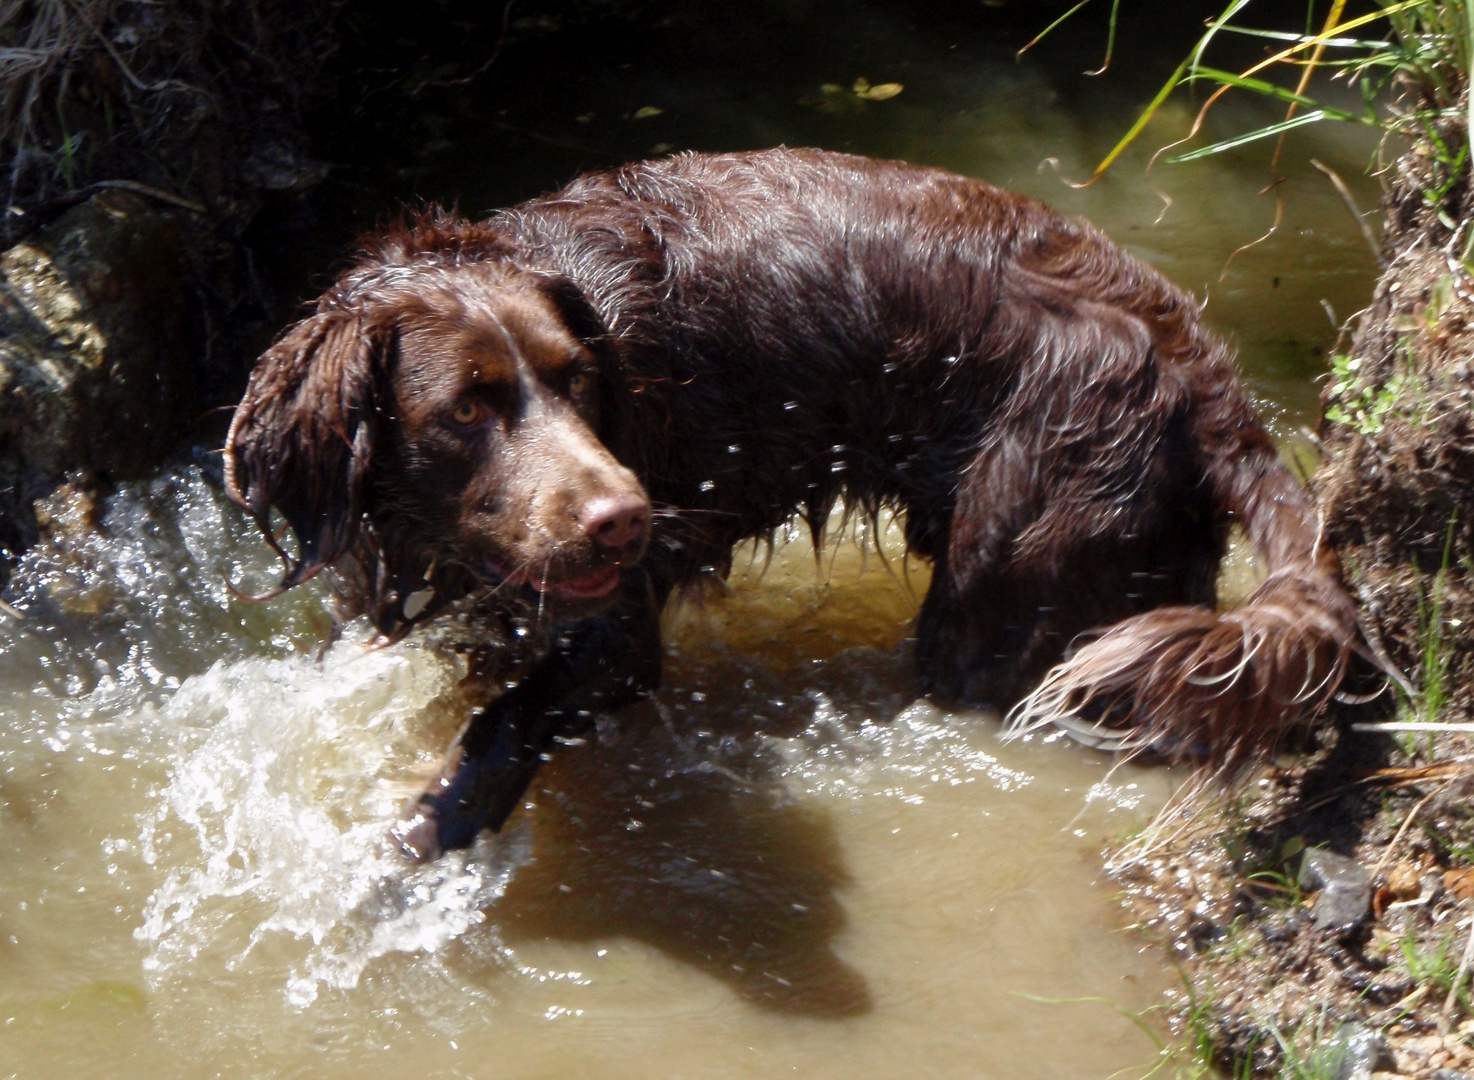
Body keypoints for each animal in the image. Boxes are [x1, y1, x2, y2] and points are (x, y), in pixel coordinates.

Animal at [224, 149, 1361, 860]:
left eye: (578, 380)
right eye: (466, 408)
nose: (626, 520)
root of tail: (1201, 368)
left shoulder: (613, 638)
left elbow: (509, 721)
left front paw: (423, 827)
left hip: (1018, 573)